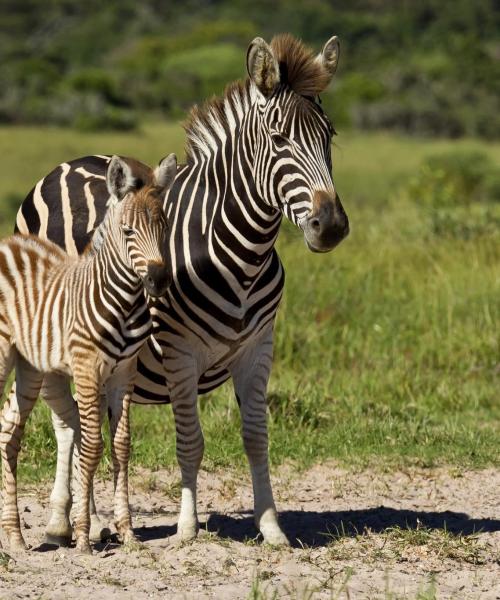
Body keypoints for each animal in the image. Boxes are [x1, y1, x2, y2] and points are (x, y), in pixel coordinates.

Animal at [0, 152, 176, 552]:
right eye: (127, 232)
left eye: (164, 227)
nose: (158, 281)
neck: (122, 302)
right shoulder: (86, 369)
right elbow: (91, 445)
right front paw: (82, 534)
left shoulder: (124, 372)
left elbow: (121, 446)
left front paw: (127, 532)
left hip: (30, 366)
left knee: (9, 432)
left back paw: (14, 536)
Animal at [16, 35, 352, 548]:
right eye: (279, 140)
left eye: (329, 136)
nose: (329, 226)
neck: (241, 254)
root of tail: (67, 164)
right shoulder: (178, 352)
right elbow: (190, 442)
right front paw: (189, 527)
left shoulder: (259, 348)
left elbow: (257, 437)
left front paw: (271, 526)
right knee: (66, 422)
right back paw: (61, 522)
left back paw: (92, 518)